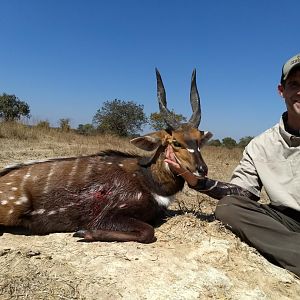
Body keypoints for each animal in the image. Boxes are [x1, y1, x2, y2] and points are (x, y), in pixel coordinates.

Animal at [0, 70, 211, 244]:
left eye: (199, 140)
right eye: (176, 142)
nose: (202, 170)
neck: (148, 179)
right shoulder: (110, 214)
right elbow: (147, 232)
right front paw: (83, 232)